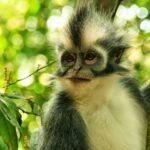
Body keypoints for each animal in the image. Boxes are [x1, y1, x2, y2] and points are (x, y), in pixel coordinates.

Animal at [37, 0, 149, 150]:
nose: (76, 68)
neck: (99, 97)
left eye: (90, 57)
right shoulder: (60, 114)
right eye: (69, 59)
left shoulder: (129, 85)